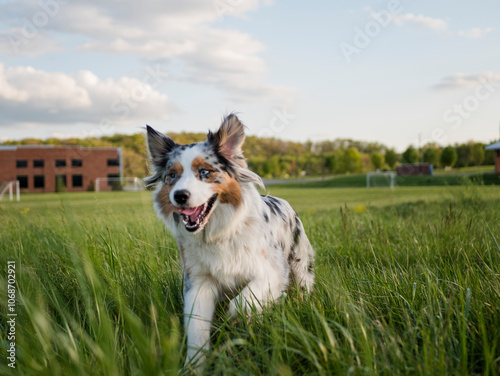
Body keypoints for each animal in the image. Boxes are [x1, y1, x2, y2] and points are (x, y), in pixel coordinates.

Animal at [146, 114, 316, 370]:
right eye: (172, 176)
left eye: (204, 172)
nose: (179, 196)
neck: (218, 233)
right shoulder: (199, 281)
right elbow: (196, 327)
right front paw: (194, 366)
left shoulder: (272, 271)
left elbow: (242, 303)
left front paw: (238, 321)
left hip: (299, 264)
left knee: (304, 286)